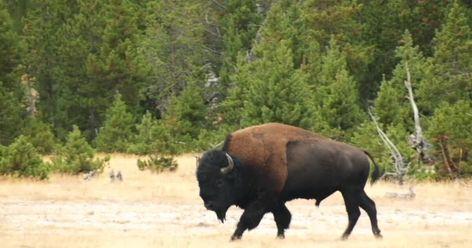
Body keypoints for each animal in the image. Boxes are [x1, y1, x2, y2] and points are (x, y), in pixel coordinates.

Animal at [196, 123, 384, 240]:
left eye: (219, 182)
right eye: (200, 180)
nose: (208, 204)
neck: (243, 165)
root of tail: (361, 151)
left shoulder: (264, 198)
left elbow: (247, 219)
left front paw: (234, 238)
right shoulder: (276, 200)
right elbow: (282, 218)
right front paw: (280, 237)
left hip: (350, 191)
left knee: (355, 213)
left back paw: (343, 237)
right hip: (354, 191)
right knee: (369, 207)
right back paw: (376, 234)